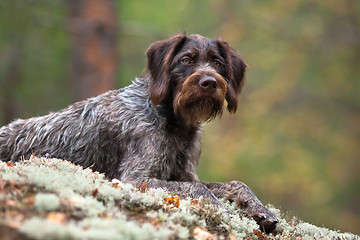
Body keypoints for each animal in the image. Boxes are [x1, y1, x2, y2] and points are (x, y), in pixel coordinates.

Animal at [0, 33, 278, 232]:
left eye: (217, 63)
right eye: (186, 60)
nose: (209, 82)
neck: (173, 122)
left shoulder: (185, 174)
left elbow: (235, 183)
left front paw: (260, 210)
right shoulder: (134, 178)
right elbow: (200, 190)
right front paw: (225, 211)